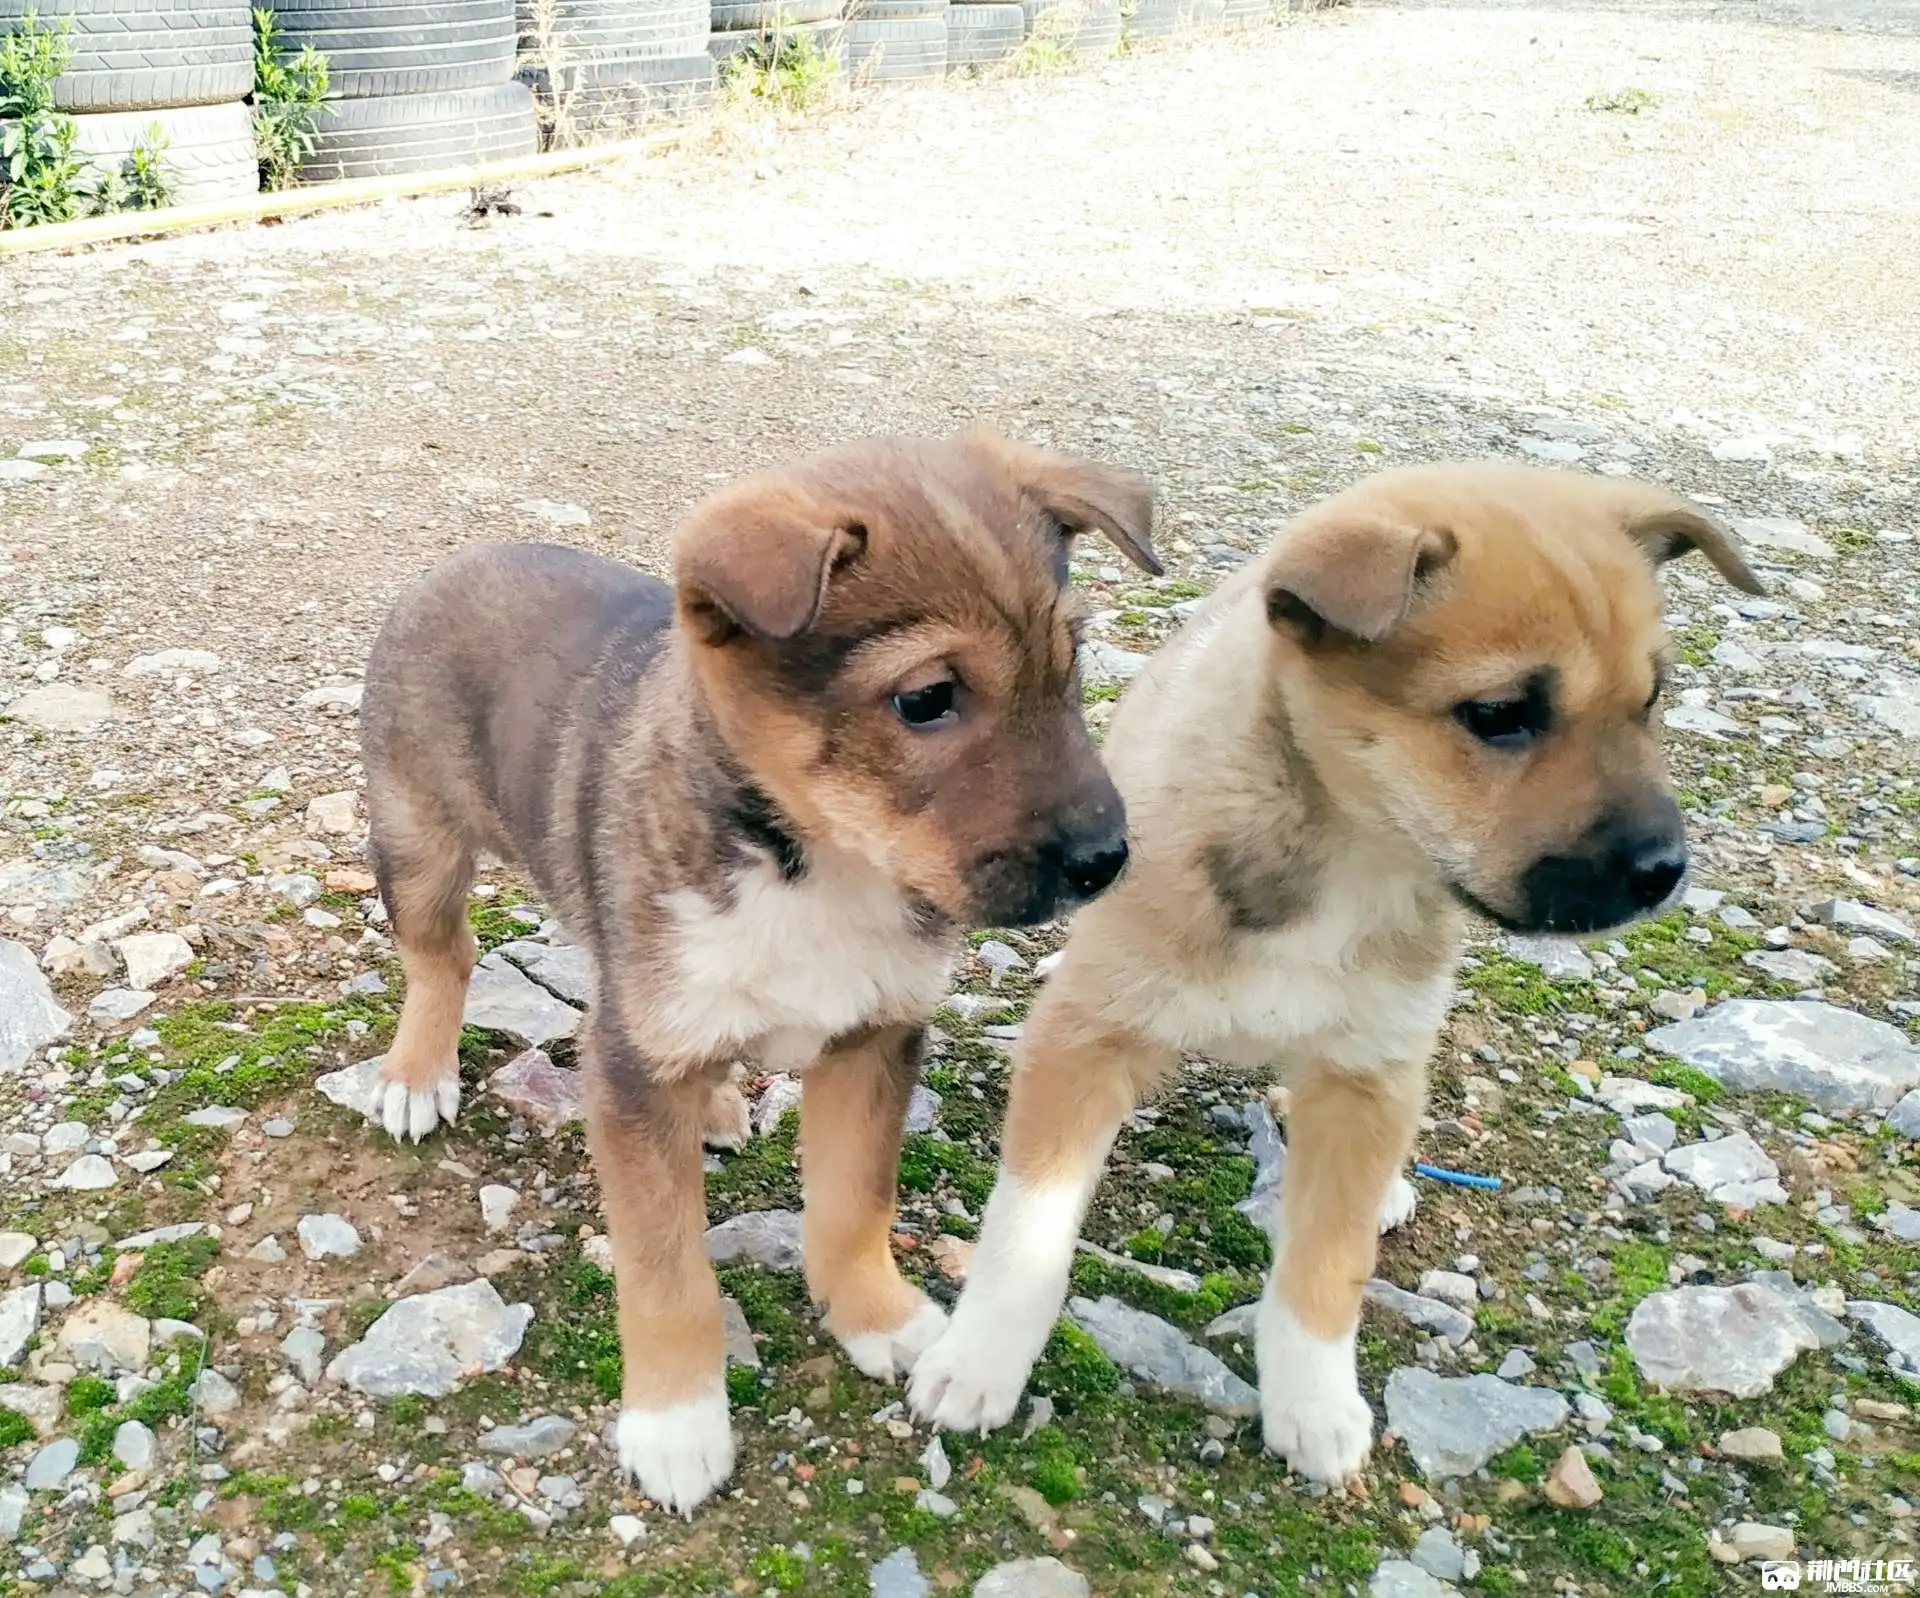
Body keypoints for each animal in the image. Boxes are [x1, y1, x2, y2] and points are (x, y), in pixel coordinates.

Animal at [355, 424, 1152, 1513]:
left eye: (1071, 670)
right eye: (926, 699)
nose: (1106, 861)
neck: (816, 863)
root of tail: (463, 559)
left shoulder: (876, 1036)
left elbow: (855, 1201)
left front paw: (877, 1315)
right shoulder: (634, 1057)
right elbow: (666, 1271)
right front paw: (678, 1420)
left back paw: (719, 1102)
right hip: (420, 835)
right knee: (444, 954)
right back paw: (415, 1072)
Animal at [906, 460, 1758, 1482]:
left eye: (1651, 701)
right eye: (1501, 716)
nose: (1666, 872)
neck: (1344, 852)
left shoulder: (1365, 1076)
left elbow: (1324, 1268)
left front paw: (1311, 1402)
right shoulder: (1086, 1034)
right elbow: (1027, 1232)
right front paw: (979, 1358)